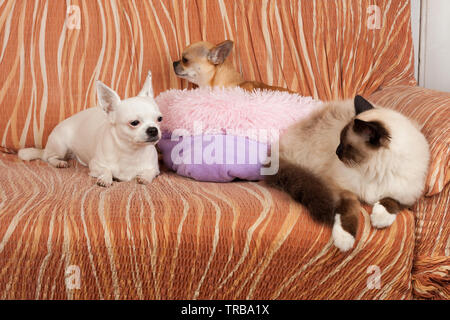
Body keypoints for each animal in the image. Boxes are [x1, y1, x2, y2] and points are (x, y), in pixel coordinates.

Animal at [18, 69, 162, 185]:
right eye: (134, 123)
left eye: (159, 119)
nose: (153, 129)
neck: (131, 152)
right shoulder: (95, 165)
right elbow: (106, 169)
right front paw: (106, 178)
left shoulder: (155, 169)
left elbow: (149, 172)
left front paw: (144, 177)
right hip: (60, 146)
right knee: (48, 158)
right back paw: (59, 162)